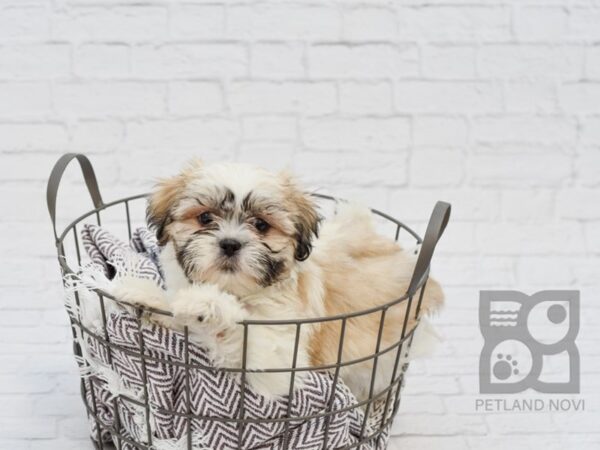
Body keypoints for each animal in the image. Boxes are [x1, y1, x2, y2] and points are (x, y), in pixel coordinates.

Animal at [112, 160, 442, 400]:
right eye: (205, 218)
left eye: (261, 225)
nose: (230, 244)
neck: (238, 291)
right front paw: (146, 296)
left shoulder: (280, 362)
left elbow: (242, 335)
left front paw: (206, 304)